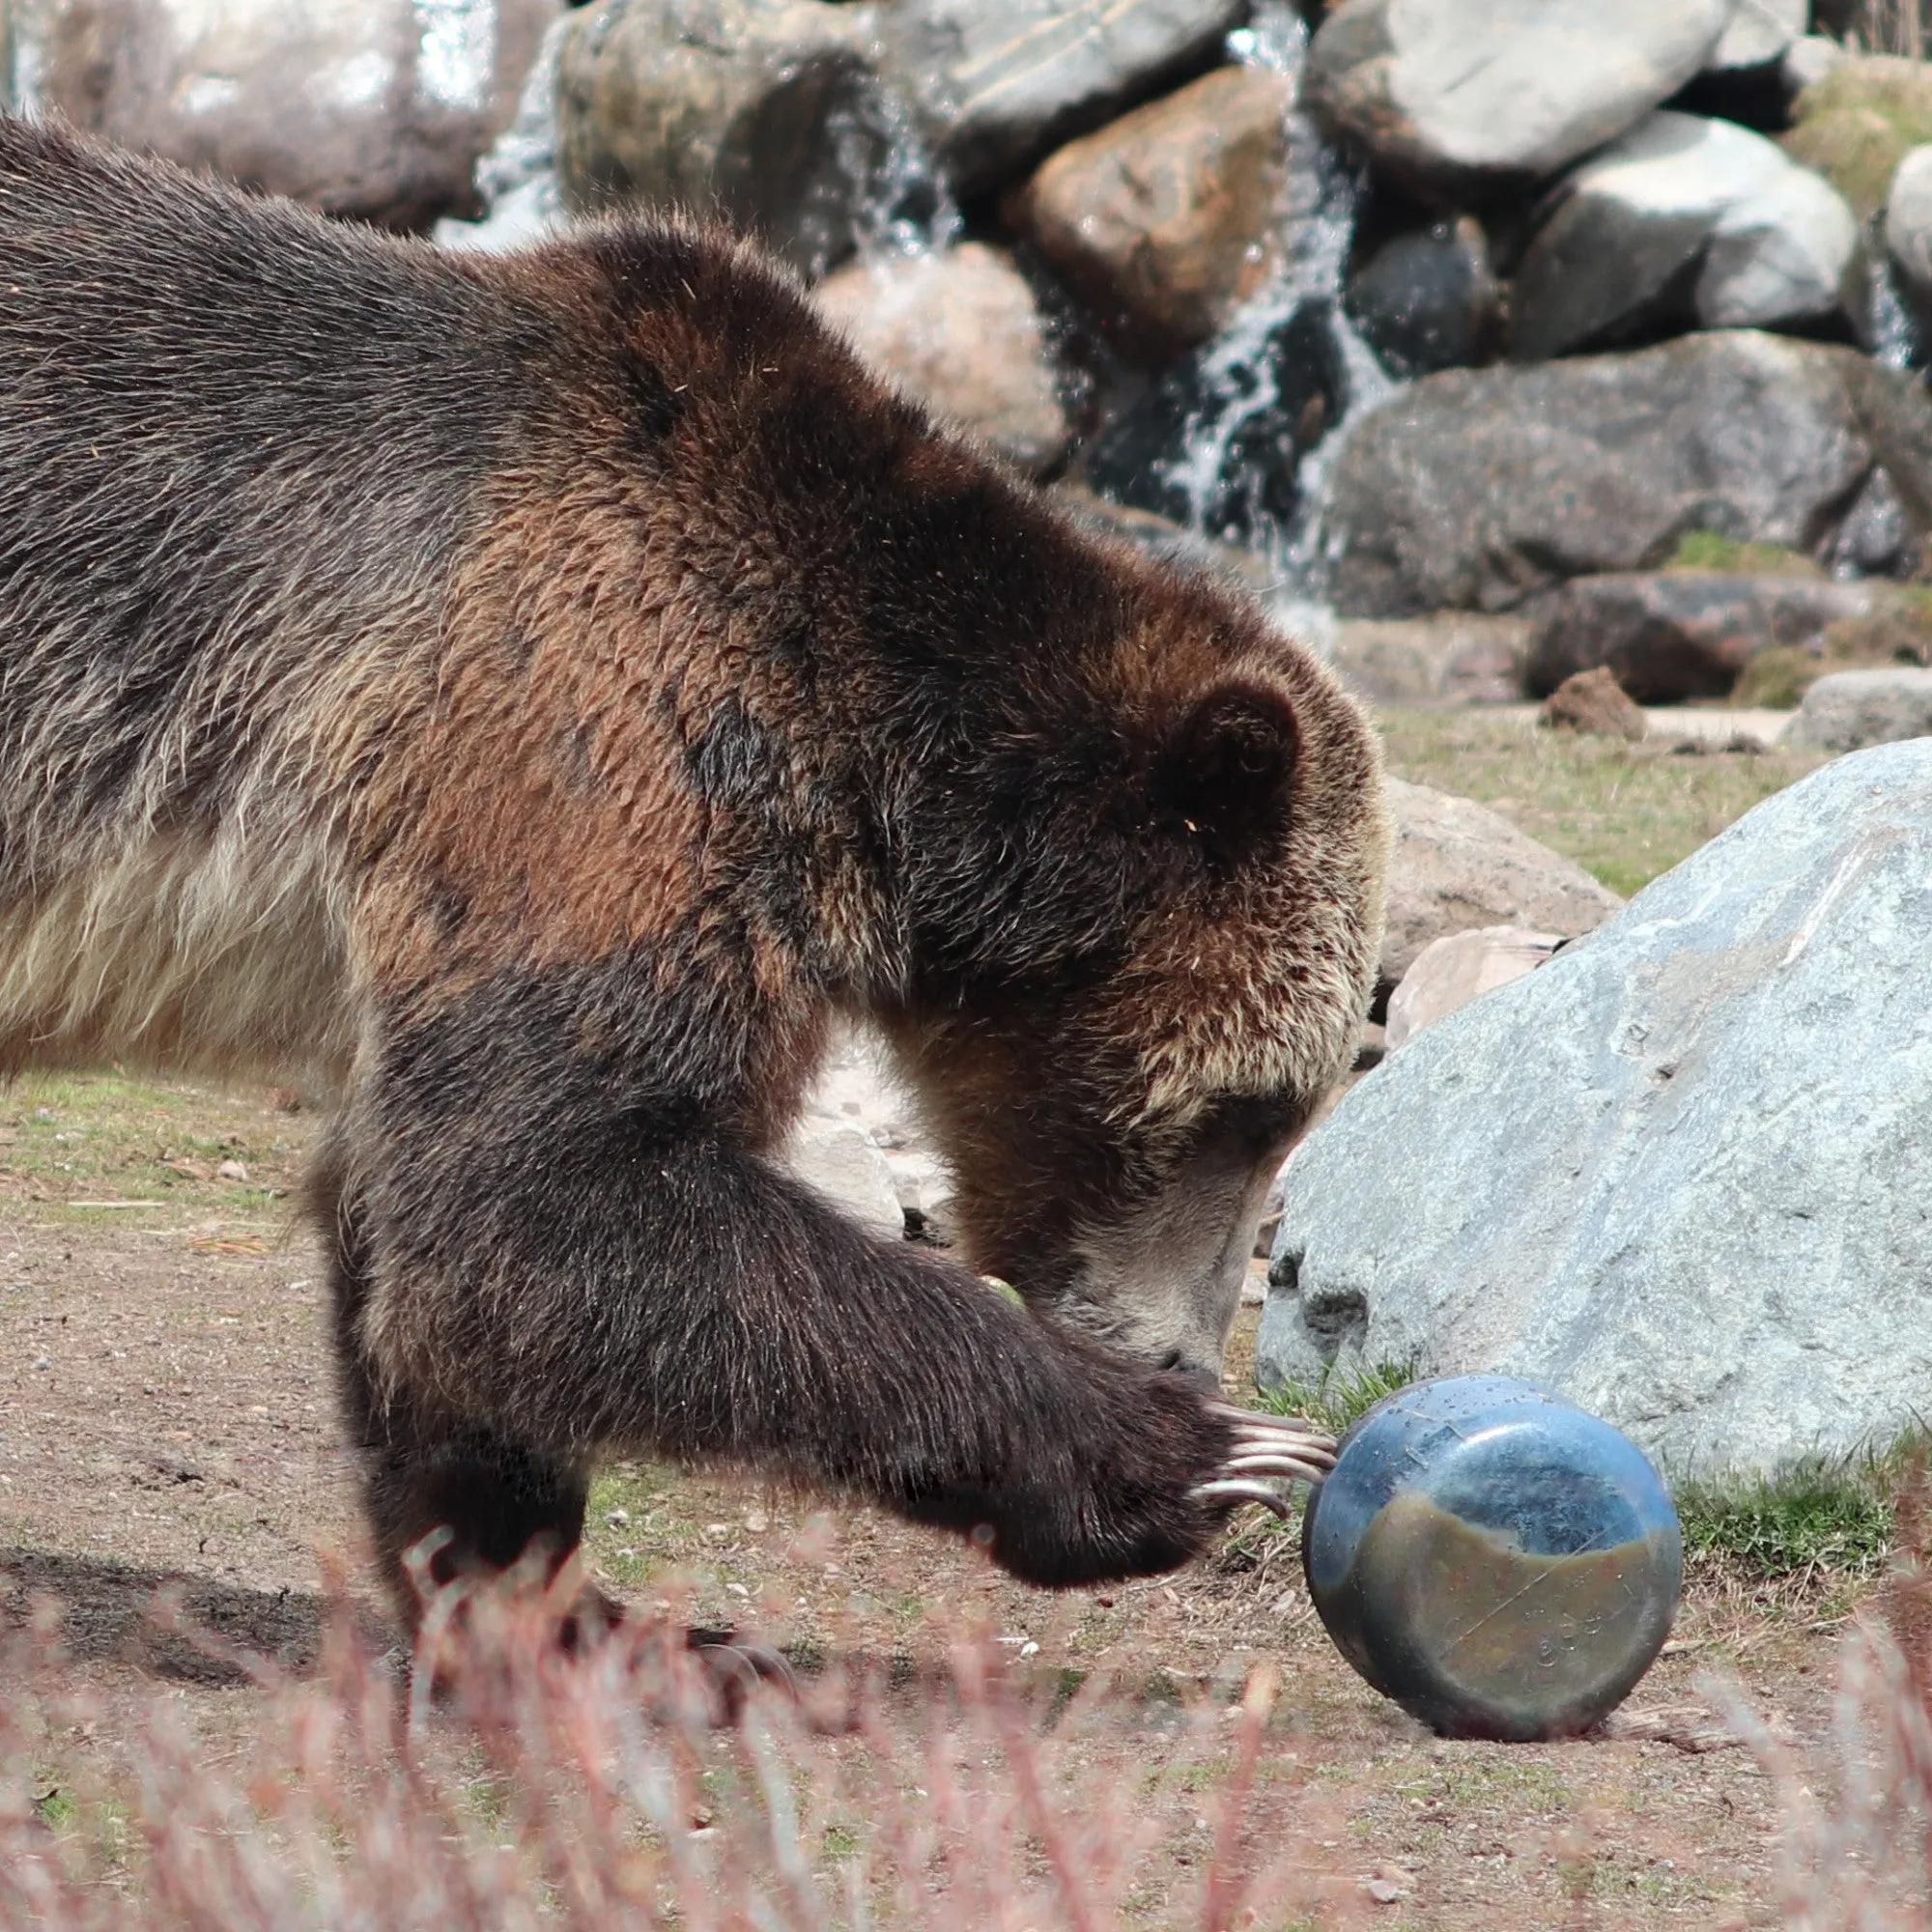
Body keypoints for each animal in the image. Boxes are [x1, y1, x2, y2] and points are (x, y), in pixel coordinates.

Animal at [0, 113, 1391, 1623]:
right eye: (1253, 1112)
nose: (1189, 1350)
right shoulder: (585, 737)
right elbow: (536, 1196)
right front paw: (1191, 1454)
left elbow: (428, 1249)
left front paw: (534, 1598)